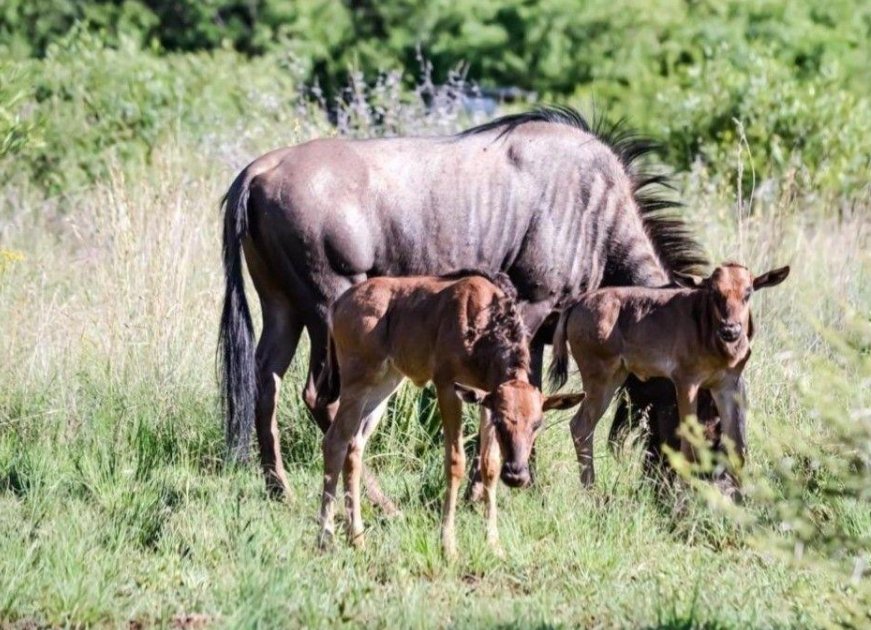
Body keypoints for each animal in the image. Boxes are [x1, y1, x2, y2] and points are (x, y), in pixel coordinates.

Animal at [316, 272, 584, 556]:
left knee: (354, 445)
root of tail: (339, 304)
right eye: (502, 421)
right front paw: (448, 546)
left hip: (384, 385)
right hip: (356, 382)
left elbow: (489, 465)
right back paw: (326, 539)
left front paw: (494, 544)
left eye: (537, 424)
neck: (482, 330)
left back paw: (357, 539)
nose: (516, 475)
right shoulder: (447, 386)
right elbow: (456, 462)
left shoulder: (486, 397)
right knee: (335, 441)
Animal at [552, 262, 792, 488]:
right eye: (714, 291)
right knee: (581, 427)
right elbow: (688, 444)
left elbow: (737, 444)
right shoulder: (686, 382)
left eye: (748, 291)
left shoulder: (725, 385)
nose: (730, 330)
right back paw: (591, 490)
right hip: (600, 380)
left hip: (614, 378)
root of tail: (578, 303)